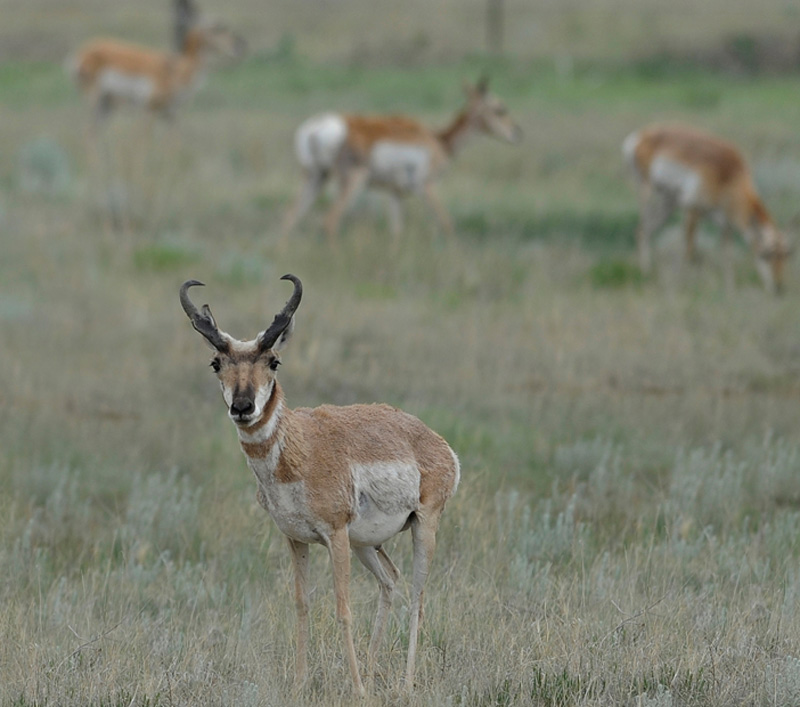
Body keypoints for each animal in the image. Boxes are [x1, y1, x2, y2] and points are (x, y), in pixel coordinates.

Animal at [179, 275, 460, 694]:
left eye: (273, 361)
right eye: (216, 363)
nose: (242, 407)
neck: (300, 448)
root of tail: (436, 441)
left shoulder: (335, 535)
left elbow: (343, 609)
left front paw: (357, 690)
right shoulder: (296, 540)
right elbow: (301, 604)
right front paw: (300, 684)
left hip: (422, 527)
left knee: (417, 596)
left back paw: (404, 683)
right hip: (366, 544)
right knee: (390, 580)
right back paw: (373, 670)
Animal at [282, 77, 523, 242]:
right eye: (500, 109)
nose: (517, 132)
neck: (438, 140)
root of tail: (317, 126)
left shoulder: (395, 193)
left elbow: (396, 231)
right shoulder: (426, 186)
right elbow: (447, 223)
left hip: (316, 178)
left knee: (290, 217)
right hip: (353, 180)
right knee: (330, 221)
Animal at [623, 123, 791, 294]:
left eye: (785, 256)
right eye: (766, 255)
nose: (778, 287)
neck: (729, 176)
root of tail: (641, 136)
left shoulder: (725, 227)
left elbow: (727, 260)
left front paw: (730, 291)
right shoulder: (693, 210)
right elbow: (689, 252)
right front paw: (684, 284)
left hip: (669, 203)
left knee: (645, 231)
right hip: (647, 193)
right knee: (642, 229)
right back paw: (645, 272)